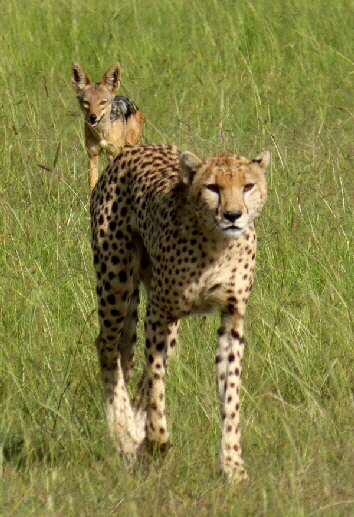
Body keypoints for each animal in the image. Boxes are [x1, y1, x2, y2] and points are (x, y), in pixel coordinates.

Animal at [90, 143, 270, 482]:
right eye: (213, 187)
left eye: (248, 186)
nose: (233, 215)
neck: (216, 244)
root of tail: (134, 148)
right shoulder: (158, 314)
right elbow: (157, 384)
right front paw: (157, 440)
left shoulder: (232, 318)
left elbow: (230, 396)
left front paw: (233, 465)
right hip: (116, 282)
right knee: (108, 347)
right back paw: (122, 430)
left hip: (165, 321)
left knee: (130, 362)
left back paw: (133, 433)